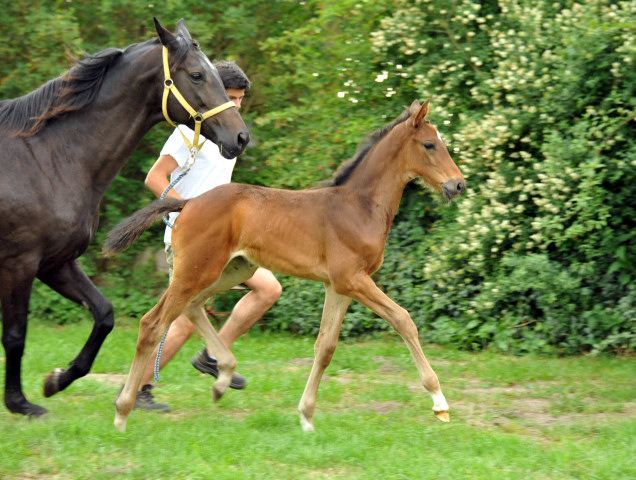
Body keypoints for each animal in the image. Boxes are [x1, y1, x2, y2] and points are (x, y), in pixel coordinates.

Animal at [0, 17, 251, 416]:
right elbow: (15, 335)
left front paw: (57, 380)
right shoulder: (18, 264)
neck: (47, 158)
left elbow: (104, 315)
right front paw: (20, 403)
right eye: (197, 75)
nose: (241, 137)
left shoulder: (55, 262)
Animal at [103, 99, 462, 434]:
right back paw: (122, 412)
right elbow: (403, 320)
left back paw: (222, 378)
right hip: (196, 272)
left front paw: (306, 417)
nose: (458, 185)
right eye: (429, 145)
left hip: (231, 271)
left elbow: (326, 346)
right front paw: (439, 402)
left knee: (191, 309)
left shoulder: (339, 286)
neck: (359, 207)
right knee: (153, 324)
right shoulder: (353, 279)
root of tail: (188, 203)